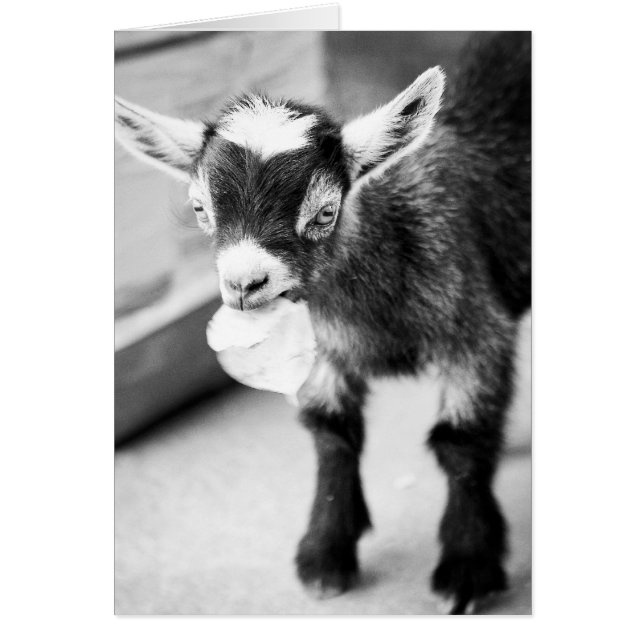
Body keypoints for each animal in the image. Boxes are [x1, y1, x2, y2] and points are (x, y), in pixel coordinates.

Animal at [115, 32, 531, 614]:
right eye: (199, 209)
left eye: (324, 213)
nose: (244, 283)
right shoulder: (323, 350)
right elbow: (331, 431)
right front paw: (325, 556)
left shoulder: (476, 327)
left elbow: (461, 438)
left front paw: (468, 569)